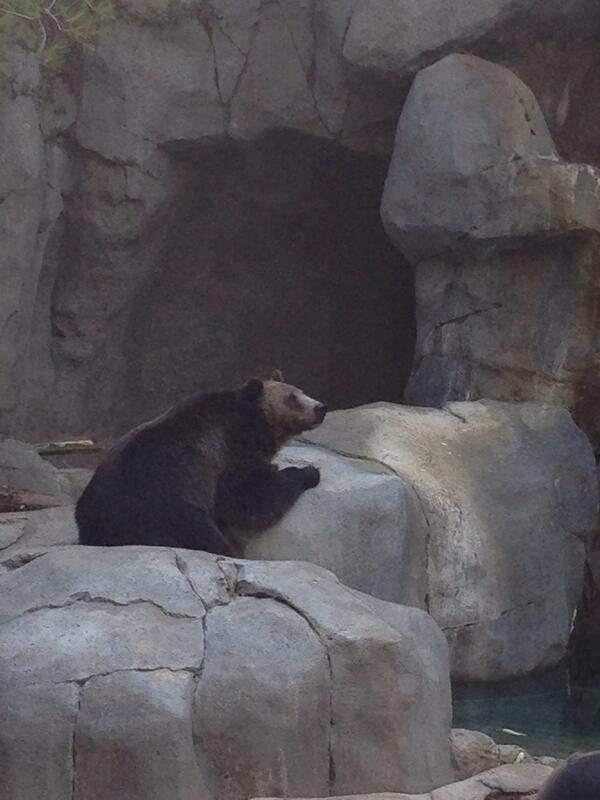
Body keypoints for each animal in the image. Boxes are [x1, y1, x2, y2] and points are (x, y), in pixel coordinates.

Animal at [76, 371, 327, 556]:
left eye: (302, 391)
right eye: (292, 398)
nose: (320, 407)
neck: (249, 426)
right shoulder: (225, 456)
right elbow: (251, 499)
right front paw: (308, 472)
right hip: (166, 511)